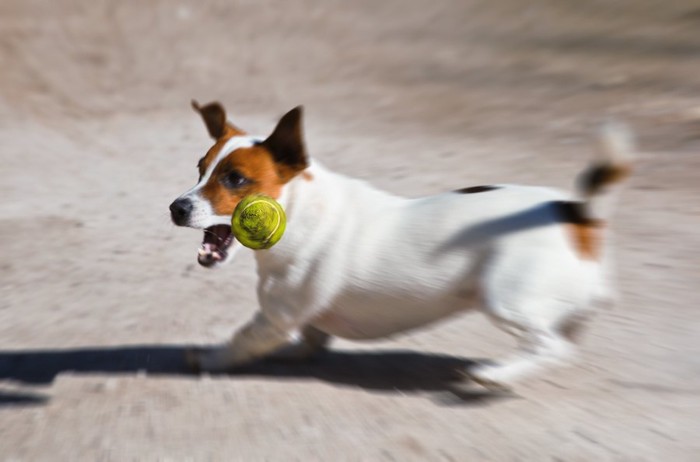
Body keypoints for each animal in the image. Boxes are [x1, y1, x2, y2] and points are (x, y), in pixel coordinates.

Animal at [171, 101, 636, 390]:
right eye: (200, 169)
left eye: (235, 179)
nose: (176, 208)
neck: (298, 209)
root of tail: (576, 211)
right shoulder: (299, 317)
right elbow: (310, 338)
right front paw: (296, 352)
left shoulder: (275, 317)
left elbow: (242, 341)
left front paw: (208, 361)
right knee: (562, 338)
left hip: (506, 300)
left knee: (553, 347)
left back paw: (494, 376)